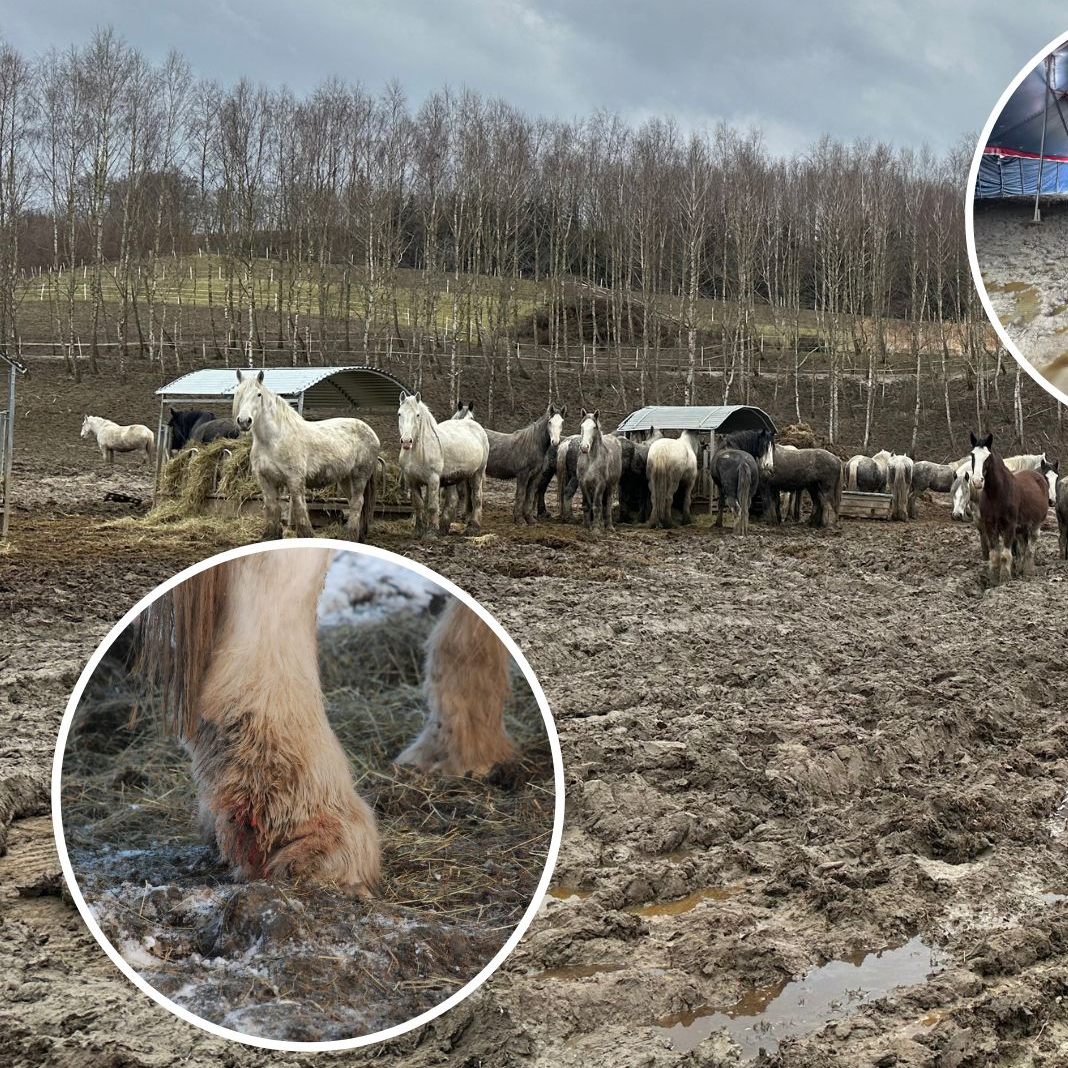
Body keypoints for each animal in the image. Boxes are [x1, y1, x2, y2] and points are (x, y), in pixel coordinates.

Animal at [232, 370, 379, 541]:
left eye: (259, 394)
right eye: (238, 393)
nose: (244, 421)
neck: (273, 440)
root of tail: (371, 431)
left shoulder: (295, 479)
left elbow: (299, 508)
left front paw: (306, 535)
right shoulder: (266, 480)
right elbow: (272, 507)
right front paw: (270, 537)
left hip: (359, 476)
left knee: (357, 503)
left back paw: (349, 535)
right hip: (345, 478)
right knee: (354, 502)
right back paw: (358, 535)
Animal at [398, 392, 488, 538]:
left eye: (417, 415)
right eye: (399, 414)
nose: (406, 441)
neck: (419, 451)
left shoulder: (433, 480)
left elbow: (432, 506)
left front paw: (431, 533)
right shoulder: (412, 481)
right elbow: (418, 505)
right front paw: (418, 531)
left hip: (477, 473)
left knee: (477, 497)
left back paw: (473, 527)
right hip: (453, 478)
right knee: (452, 500)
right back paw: (444, 528)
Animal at [978, 438, 1049, 585]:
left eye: (987, 458)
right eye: (972, 455)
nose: (976, 481)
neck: (995, 493)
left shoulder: (1009, 526)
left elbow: (1005, 555)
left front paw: (1005, 578)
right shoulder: (989, 525)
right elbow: (994, 555)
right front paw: (993, 580)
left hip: (1035, 525)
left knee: (1030, 548)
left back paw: (1028, 570)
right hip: (1022, 528)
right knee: (1023, 547)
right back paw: (1020, 569)